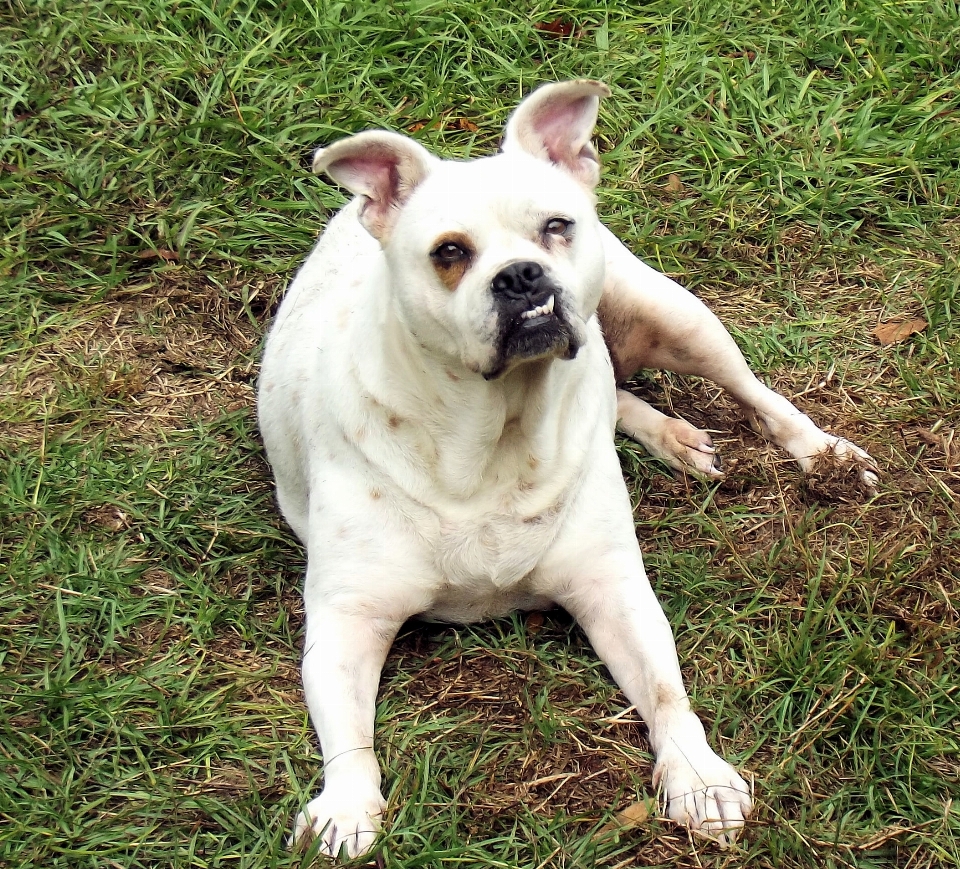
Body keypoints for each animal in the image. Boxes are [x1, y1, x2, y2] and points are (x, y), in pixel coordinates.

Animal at [256, 81, 876, 860]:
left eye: (556, 226)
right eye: (449, 252)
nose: (521, 275)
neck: (494, 430)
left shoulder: (612, 589)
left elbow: (666, 691)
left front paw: (699, 776)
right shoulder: (347, 621)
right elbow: (348, 739)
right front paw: (345, 808)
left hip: (677, 317)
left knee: (753, 393)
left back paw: (823, 453)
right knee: (619, 394)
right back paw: (674, 437)